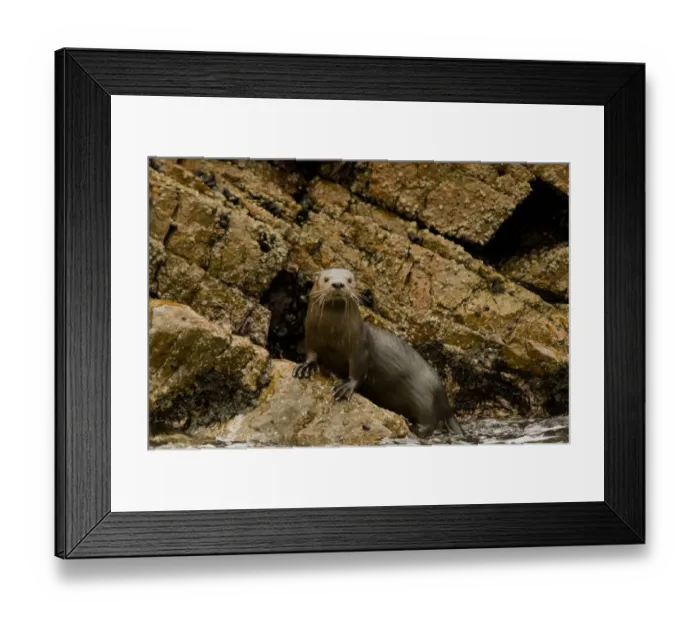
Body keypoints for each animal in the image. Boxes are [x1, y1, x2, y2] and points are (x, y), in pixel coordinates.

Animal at [293, 268, 463, 439]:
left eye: (349, 280)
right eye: (326, 279)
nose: (338, 284)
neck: (333, 335)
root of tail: (444, 397)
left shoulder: (360, 347)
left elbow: (358, 370)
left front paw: (346, 386)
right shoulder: (311, 337)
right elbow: (311, 354)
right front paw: (304, 367)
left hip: (424, 399)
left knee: (429, 422)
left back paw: (413, 427)